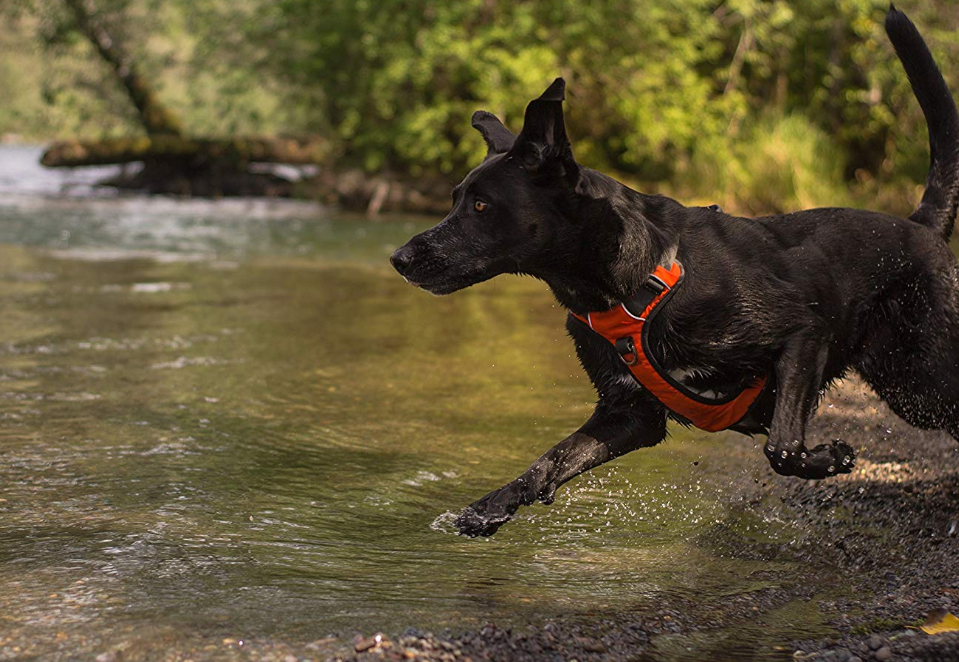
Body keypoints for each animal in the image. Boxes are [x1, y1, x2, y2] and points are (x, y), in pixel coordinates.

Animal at [390, 7, 959, 540]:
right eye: (455, 199)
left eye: (481, 206)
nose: (399, 257)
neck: (629, 281)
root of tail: (920, 226)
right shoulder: (629, 413)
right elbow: (550, 459)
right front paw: (489, 507)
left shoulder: (804, 334)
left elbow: (781, 446)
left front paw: (831, 458)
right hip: (907, 385)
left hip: (927, 375)